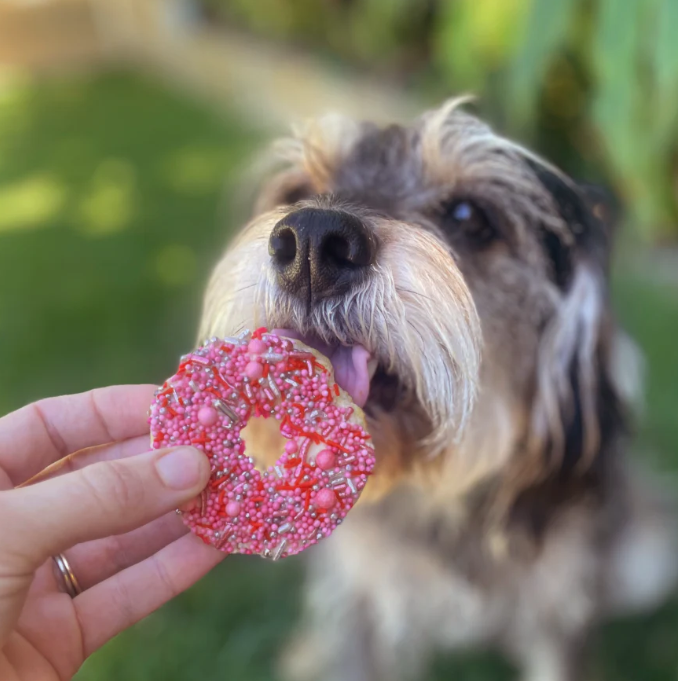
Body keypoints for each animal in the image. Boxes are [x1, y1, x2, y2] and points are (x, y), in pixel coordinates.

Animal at [199, 97, 676, 680]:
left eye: (470, 216)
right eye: (296, 190)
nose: (310, 241)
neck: (437, 497)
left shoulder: (558, 614)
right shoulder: (362, 598)